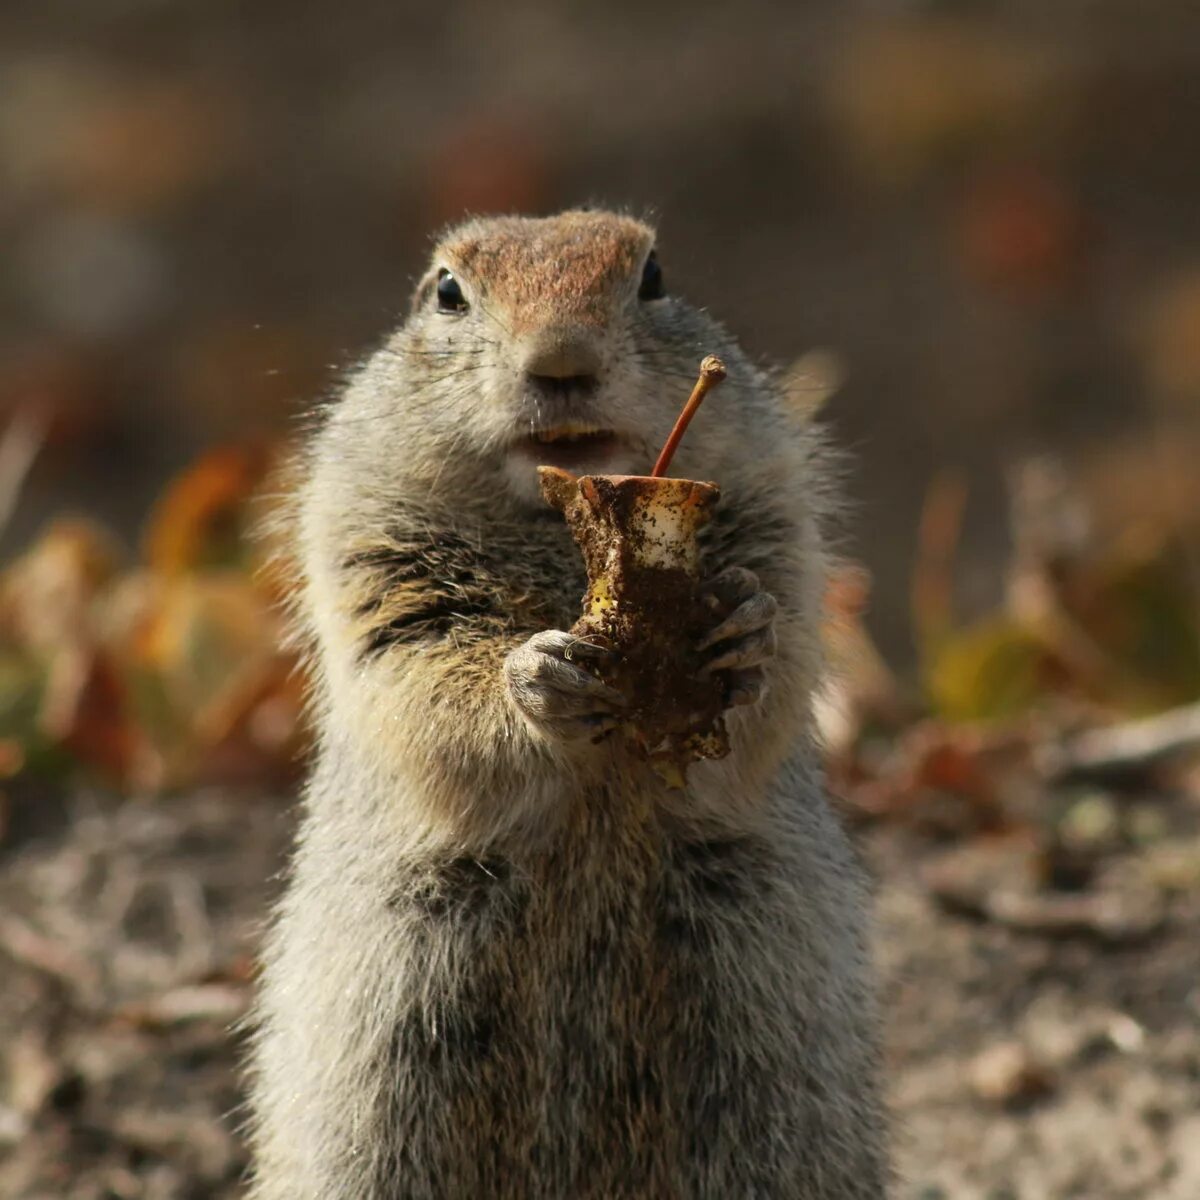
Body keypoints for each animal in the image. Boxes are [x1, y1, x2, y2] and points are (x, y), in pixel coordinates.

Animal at [248, 211, 888, 1195]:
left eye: (654, 276)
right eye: (447, 291)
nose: (561, 359)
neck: (562, 537)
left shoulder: (780, 515)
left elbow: (771, 680)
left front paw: (747, 630)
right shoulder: (370, 549)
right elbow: (418, 674)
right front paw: (535, 680)